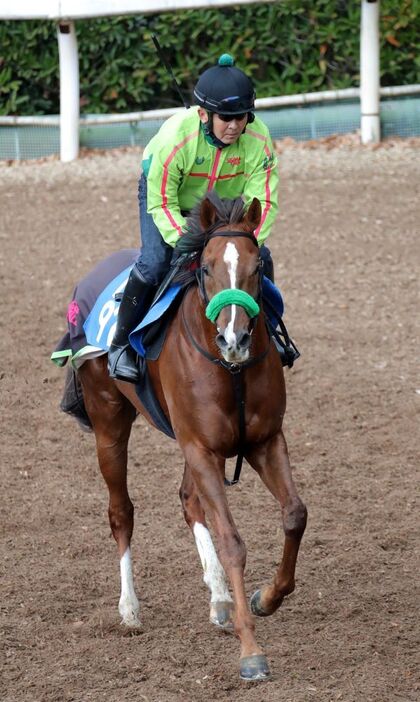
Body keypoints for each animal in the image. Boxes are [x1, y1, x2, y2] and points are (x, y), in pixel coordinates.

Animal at [74, 191, 306, 680]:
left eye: (257, 267)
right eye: (207, 268)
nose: (234, 339)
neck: (231, 370)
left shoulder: (261, 441)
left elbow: (295, 514)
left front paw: (265, 597)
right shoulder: (202, 448)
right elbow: (232, 541)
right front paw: (251, 651)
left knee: (188, 501)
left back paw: (219, 598)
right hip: (109, 421)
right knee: (121, 511)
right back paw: (130, 609)